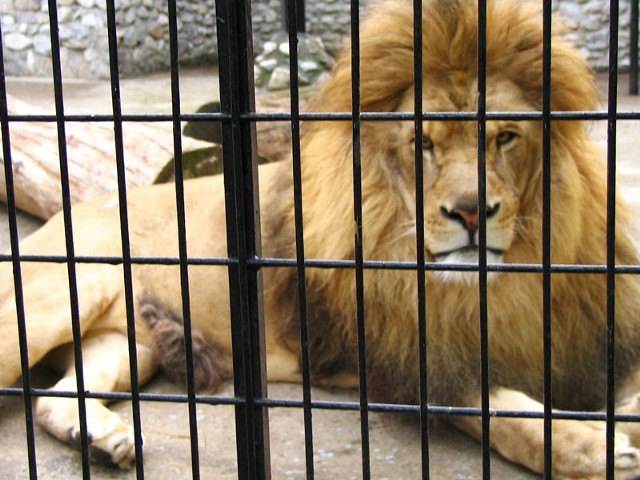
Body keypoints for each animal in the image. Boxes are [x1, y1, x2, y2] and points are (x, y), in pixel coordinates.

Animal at [1, 0, 640, 476]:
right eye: (423, 144)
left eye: (505, 137)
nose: (471, 213)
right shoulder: (404, 358)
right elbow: (496, 411)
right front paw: (592, 447)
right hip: (56, 300)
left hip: (130, 343)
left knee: (56, 398)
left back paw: (98, 438)